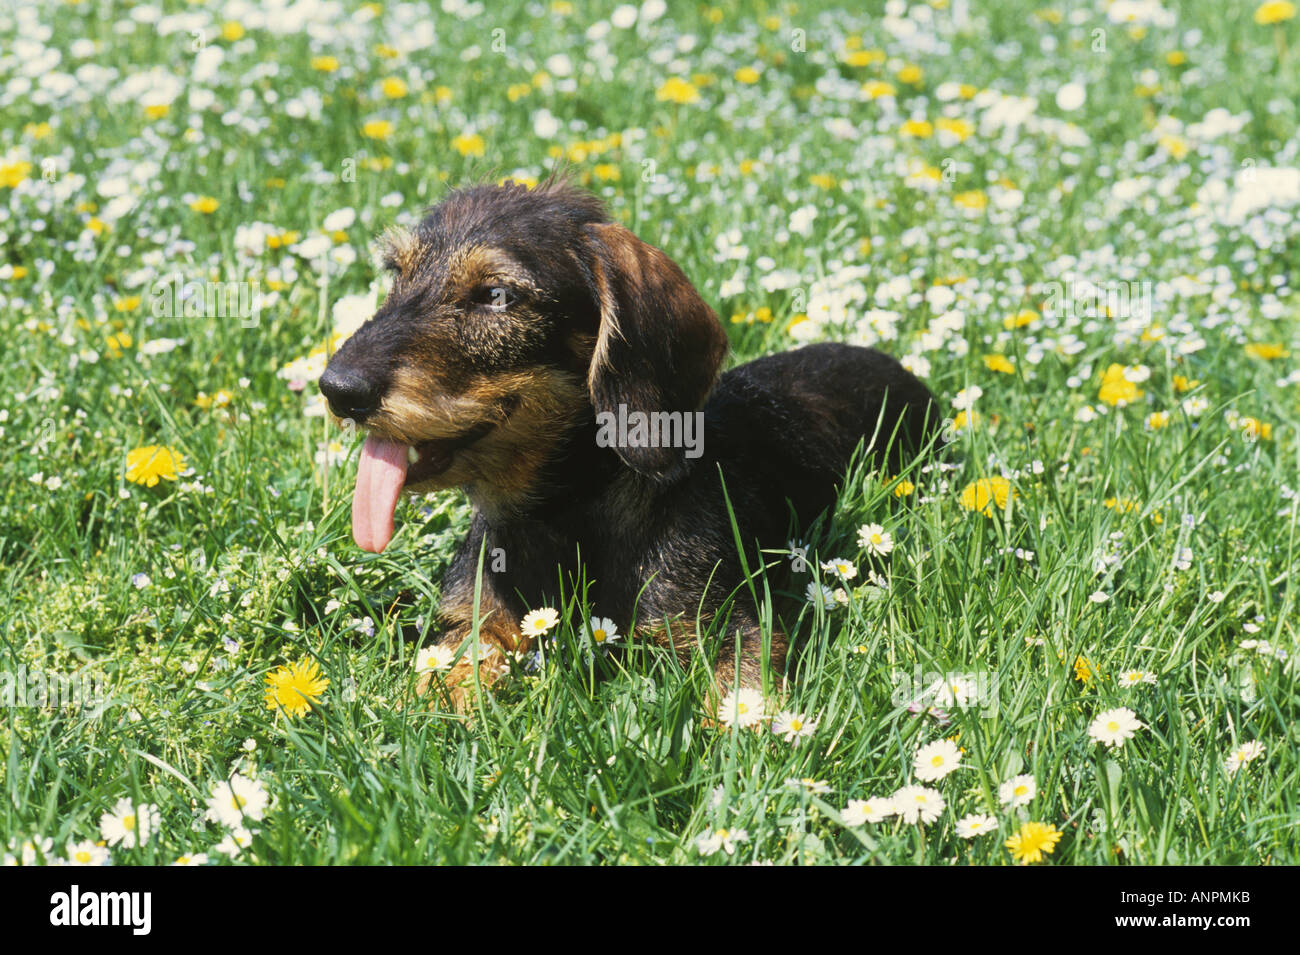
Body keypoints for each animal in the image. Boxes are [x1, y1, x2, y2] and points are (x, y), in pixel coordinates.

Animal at [319, 178, 941, 712]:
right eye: (397, 274)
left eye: (495, 294)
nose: (338, 388)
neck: (564, 514)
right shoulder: (471, 625)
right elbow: (449, 674)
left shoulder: (732, 631)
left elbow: (742, 700)